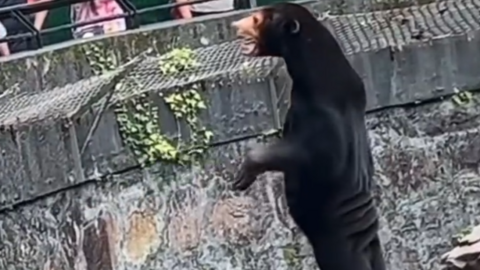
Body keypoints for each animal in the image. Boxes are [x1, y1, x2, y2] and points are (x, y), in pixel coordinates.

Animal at [231, 2, 388, 270]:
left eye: (257, 19)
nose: (234, 25)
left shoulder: (321, 120)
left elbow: (304, 154)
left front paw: (244, 173)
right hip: (371, 248)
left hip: (338, 244)